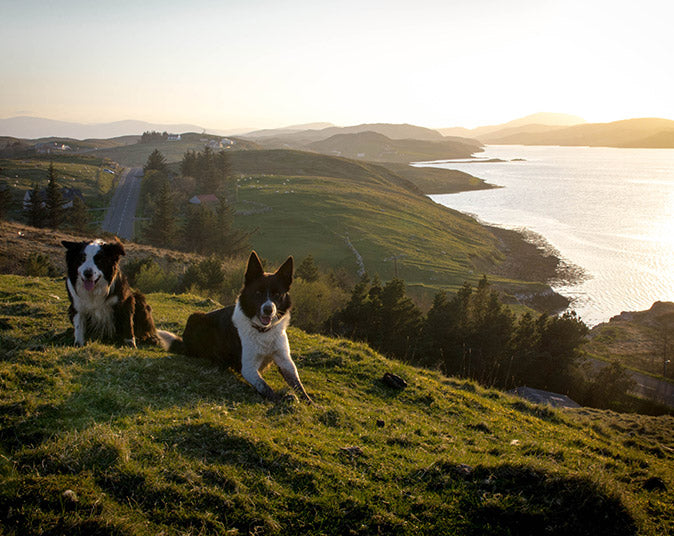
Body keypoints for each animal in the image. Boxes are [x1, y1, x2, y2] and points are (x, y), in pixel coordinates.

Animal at [160, 251, 312, 402]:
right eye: (258, 293)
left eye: (277, 294)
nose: (268, 310)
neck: (263, 332)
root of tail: (184, 343)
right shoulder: (249, 368)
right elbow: (266, 388)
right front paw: (282, 402)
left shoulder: (285, 361)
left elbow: (298, 385)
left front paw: (309, 403)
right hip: (195, 316)